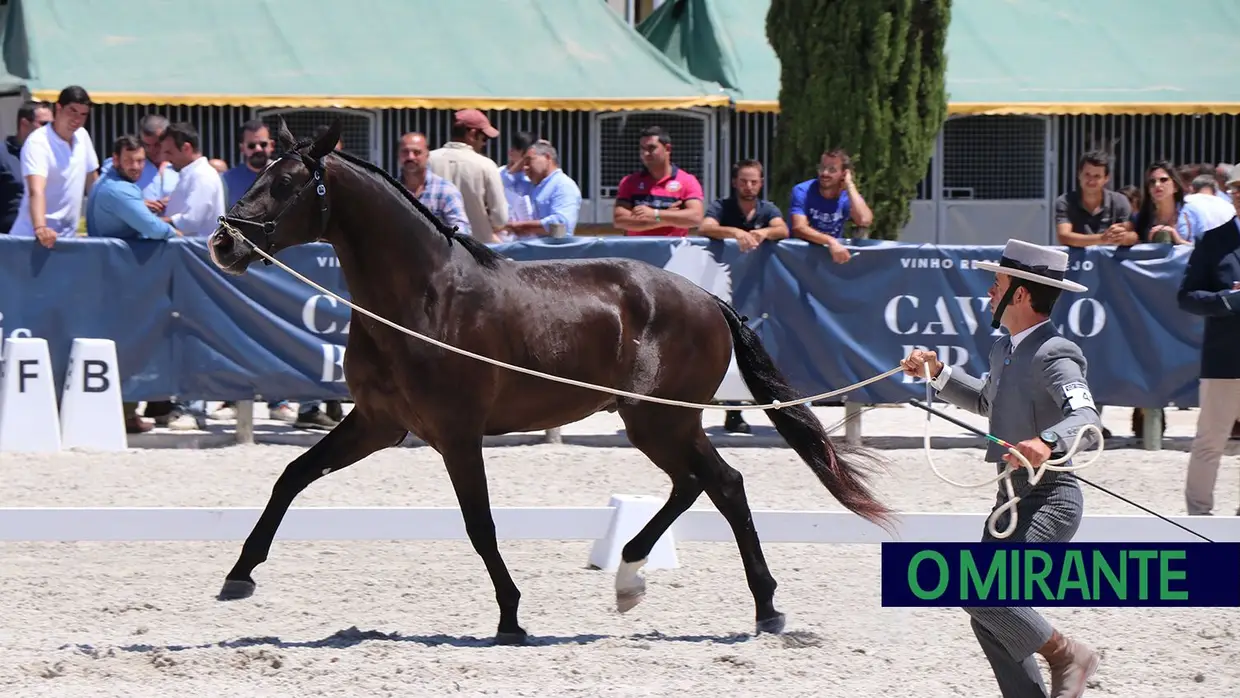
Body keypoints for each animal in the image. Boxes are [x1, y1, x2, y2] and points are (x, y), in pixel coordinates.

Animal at [208, 117, 897, 649]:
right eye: (258, 173)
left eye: (287, 183)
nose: (222, 242)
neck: (424, 297)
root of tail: (707, 298)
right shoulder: (379, 424)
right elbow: (292, 476)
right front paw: (238, 575)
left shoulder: (456, 435)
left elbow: (480, 524)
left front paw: (511, 618)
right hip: (655, 420)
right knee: (700, 484)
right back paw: (634, 578)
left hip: (661, 418)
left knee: (721, 484)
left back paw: (761, 606)